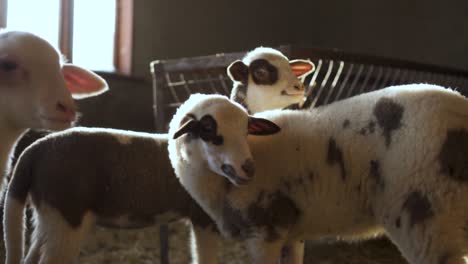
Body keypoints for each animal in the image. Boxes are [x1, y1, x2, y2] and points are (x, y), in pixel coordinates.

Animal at [169, 85, 468, 262]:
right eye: (207, 129)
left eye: (245, 129)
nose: (248, 168)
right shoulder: (291, 232)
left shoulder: (265, 230)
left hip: (429, 215)